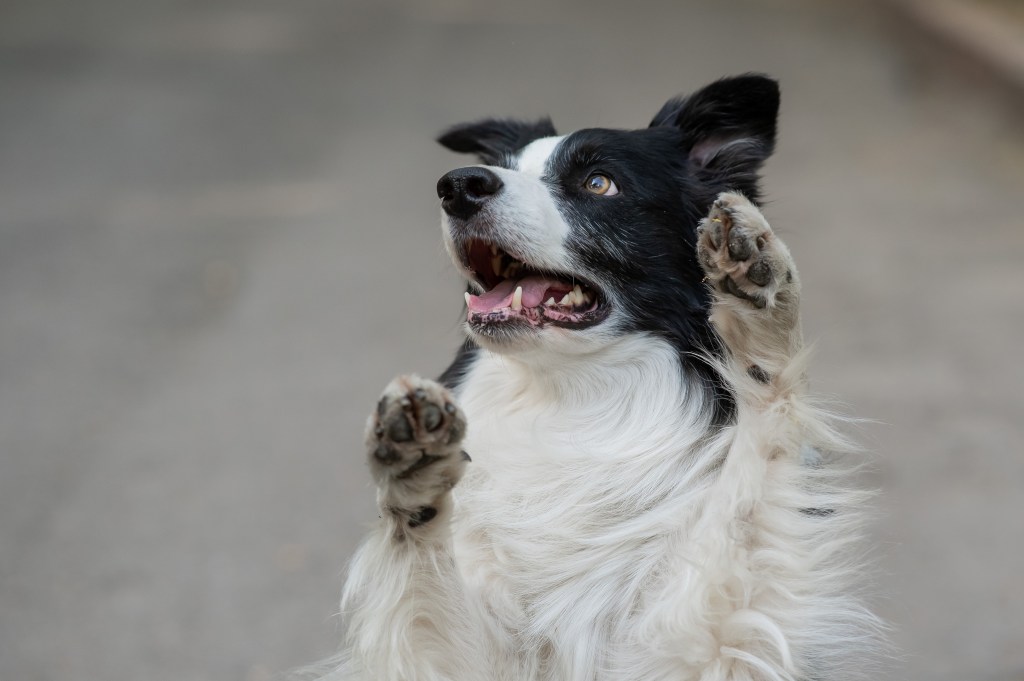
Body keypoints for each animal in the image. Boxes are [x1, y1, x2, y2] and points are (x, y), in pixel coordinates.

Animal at [309, 74, 880, 679]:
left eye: (599, 183)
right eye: (501, 166)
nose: (458, 185)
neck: (573, 399)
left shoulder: (700, 643)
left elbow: (753, 473)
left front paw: (759, 297)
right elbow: (416, 562)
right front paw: (412, 462)